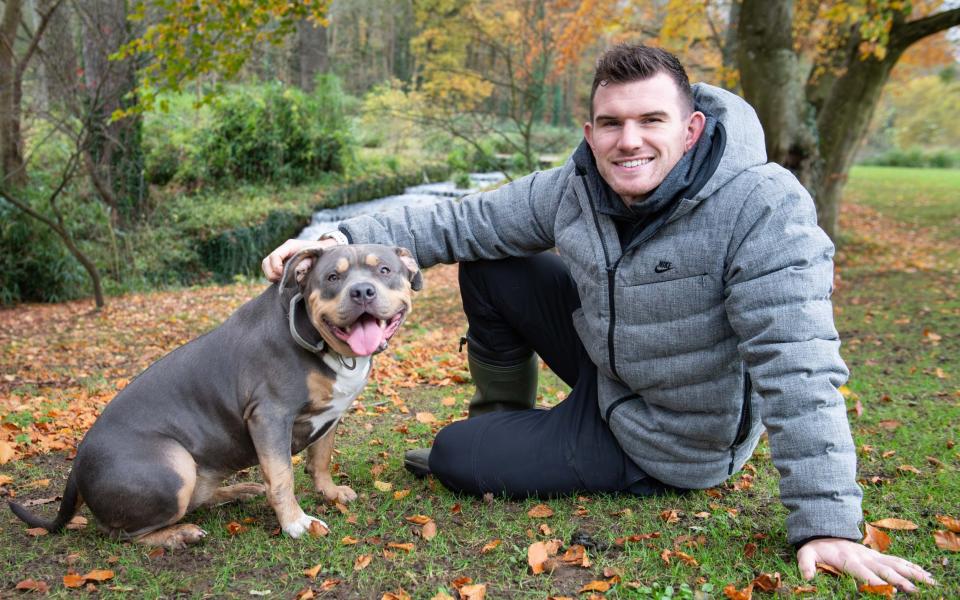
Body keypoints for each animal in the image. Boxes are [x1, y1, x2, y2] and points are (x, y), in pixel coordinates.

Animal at [7, 243, 420, 548]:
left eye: (384, 270)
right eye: (333, 277)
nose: (362, 291)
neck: (324, 342)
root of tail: (77, 465)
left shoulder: (330, 415)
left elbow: (320, 460)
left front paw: (330, 493)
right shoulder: (269, 416)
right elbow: (282, 477)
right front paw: (296, 523)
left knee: (200, 497)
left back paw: (240, 490)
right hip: (174, 467)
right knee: (121, 533)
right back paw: (178, 535)